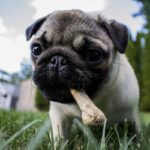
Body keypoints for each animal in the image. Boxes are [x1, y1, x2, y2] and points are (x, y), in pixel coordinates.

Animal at [25, 9, 139, 140]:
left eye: (93, 55)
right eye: (36, 49)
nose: (58, 60)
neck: (94, 100)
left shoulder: (131, 114)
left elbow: (137, 133)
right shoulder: (59, 115)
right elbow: (59, 135)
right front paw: (58, 142)